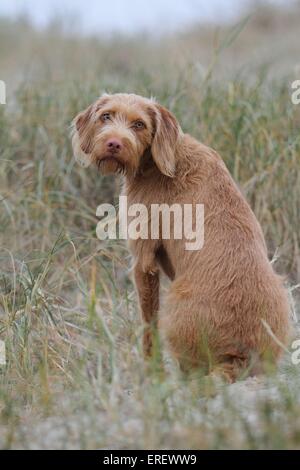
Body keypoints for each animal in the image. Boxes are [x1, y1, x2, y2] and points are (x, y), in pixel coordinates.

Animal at [71, 92, 290, 382]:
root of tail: (239, 357)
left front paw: (151, 372)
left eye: (139, 124)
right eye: (106, 116)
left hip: (176, 305)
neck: (163, 159)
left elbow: (148, 324)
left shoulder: (144, 260)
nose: (114, 143)